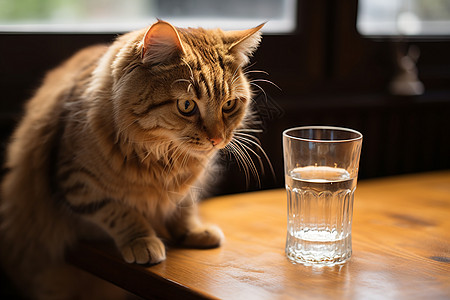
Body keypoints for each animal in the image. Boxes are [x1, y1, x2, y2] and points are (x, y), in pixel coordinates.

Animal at [0, 19, 264, 298]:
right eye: (187, 106)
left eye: (229, 105)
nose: (217, 139)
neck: (163, 158)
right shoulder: (75, 183)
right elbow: (120, 212)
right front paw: (143, 241)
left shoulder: (186, 188)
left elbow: (184, 207)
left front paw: (193, 231)